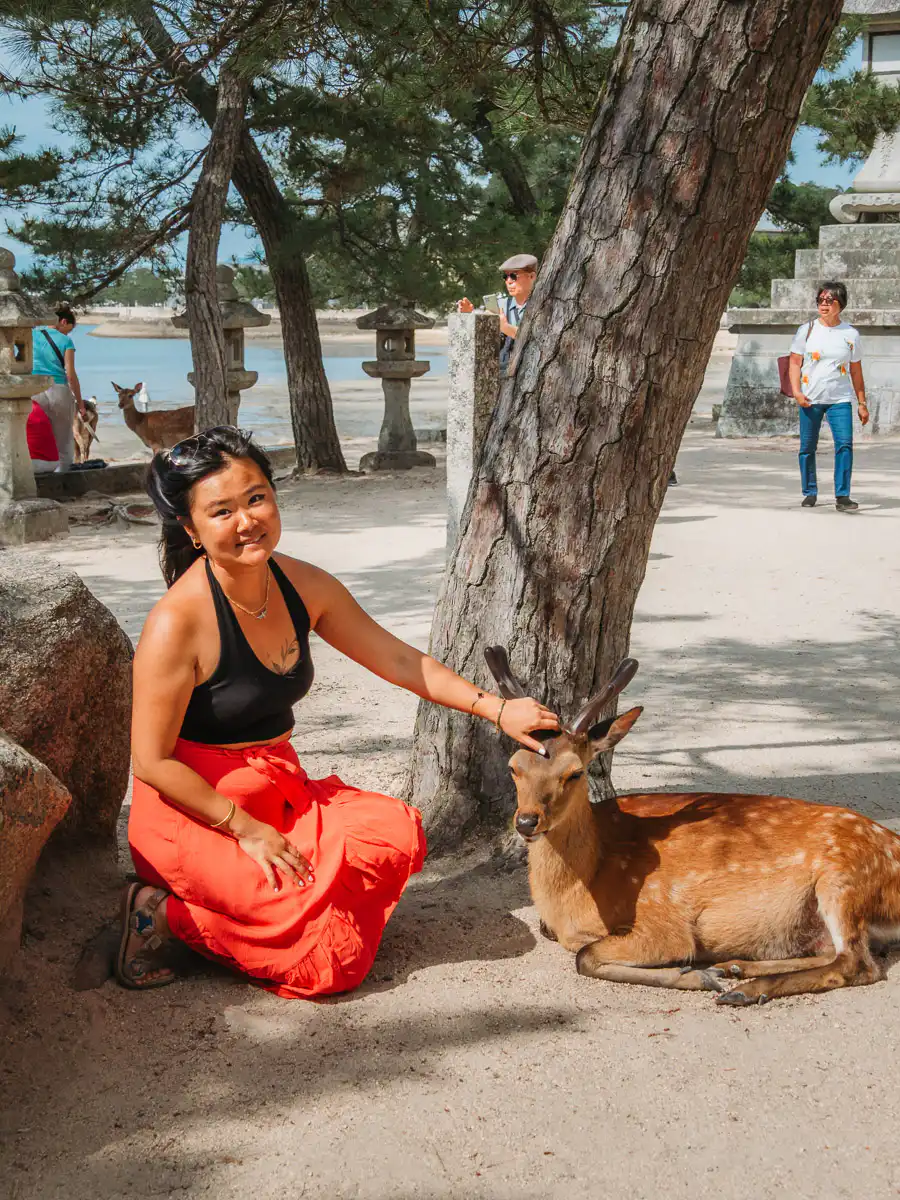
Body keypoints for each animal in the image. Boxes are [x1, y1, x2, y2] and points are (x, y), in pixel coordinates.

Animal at [485, 647, 900, 1006]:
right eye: (514, 766)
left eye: (575, 772)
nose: (527, 821)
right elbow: (559, 938)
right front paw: (706, 973)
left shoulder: (662, 918)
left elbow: (585, 956)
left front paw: (694, 975)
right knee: (834, 953)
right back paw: (736, 968)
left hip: (844, 878)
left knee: (858, 963)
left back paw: (743, 989)